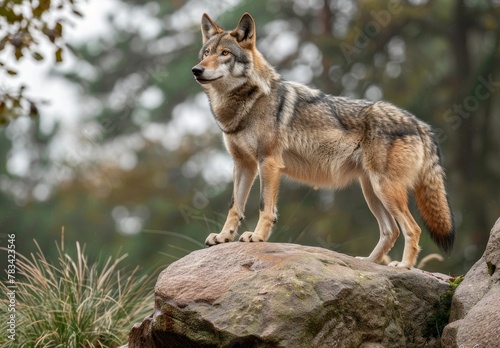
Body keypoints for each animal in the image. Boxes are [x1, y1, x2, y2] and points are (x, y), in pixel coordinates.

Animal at [190, 12, 454, 268]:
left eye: (225, 54)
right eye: (206, 53)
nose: (196, 70)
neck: (247, 103)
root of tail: (419, 123)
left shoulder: (269, 162)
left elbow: (265, 207)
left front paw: (257, 237)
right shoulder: (244, 164)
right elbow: (234, 206)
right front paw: (223, 237)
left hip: (385, 189)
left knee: (413, 228)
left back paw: (404, 266)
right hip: (372, 192)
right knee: (391, 231)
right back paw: (369, 263)